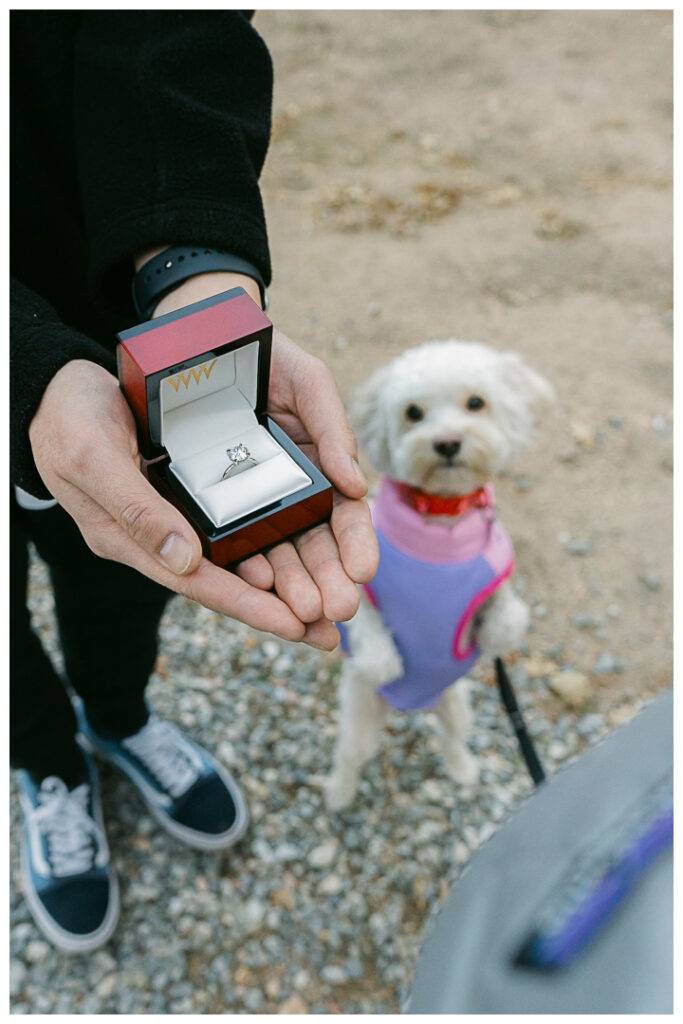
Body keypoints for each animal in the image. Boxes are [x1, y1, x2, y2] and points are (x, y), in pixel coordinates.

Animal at [325, 339, 557, 811]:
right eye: (413, 412)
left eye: (476, 402)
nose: (447, 442)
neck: (440, 517)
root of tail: (412, 705)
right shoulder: (362, 586)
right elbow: (368, 631)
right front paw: (388, 662)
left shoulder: (496, 582)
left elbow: (510, 617)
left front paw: (491, 638)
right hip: (358, 712)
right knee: (352, 753)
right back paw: (339, 792)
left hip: (456, 703)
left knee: (452, 738)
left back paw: (464, 771)